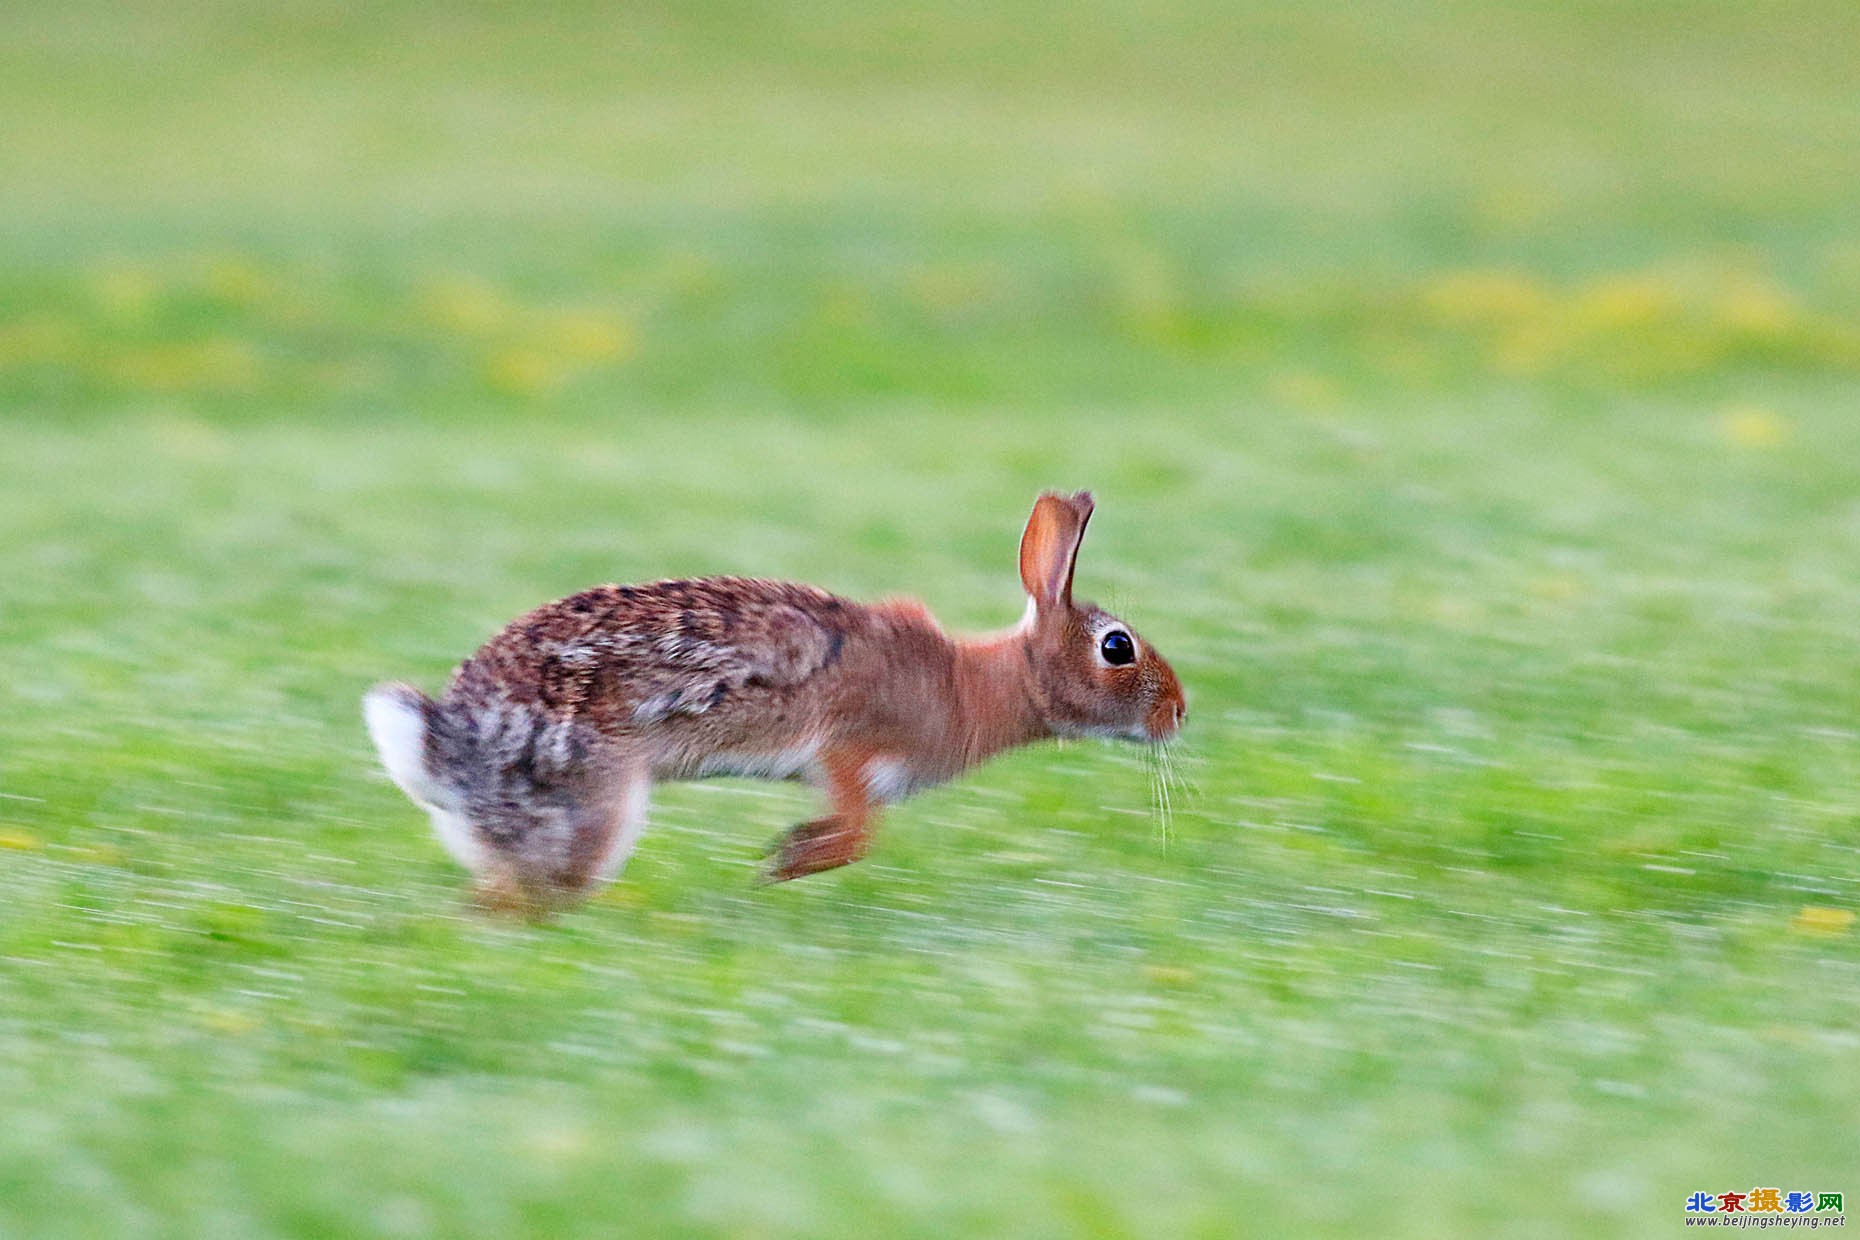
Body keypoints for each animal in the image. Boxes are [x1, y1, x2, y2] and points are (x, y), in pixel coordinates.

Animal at [357, 487, 1182, 910]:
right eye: (1117, 648)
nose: (1179, 713)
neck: (974, 682)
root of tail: (443, 751)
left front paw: (784, 852)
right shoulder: (849, 746)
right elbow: (860, 833)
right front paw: (783, 864)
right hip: (592, 803)